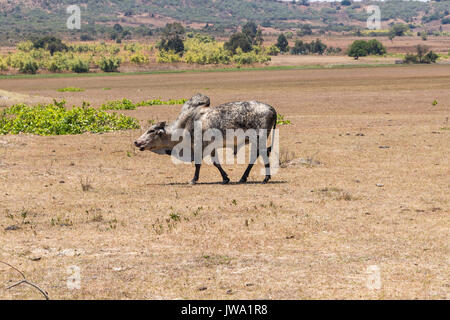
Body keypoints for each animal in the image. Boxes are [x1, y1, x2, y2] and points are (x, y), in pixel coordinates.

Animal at [133, 94, 278, 184]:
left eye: (151, 130)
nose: (136, 142)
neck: (185, 125)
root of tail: (272, 109)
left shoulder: (198, 147)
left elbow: (198, 164)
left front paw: (193, 180)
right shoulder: (210, 147)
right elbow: (216, 163)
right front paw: (225, 178)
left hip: (259, 139)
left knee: (261, 155)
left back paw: (264, 178)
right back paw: (246, 178)